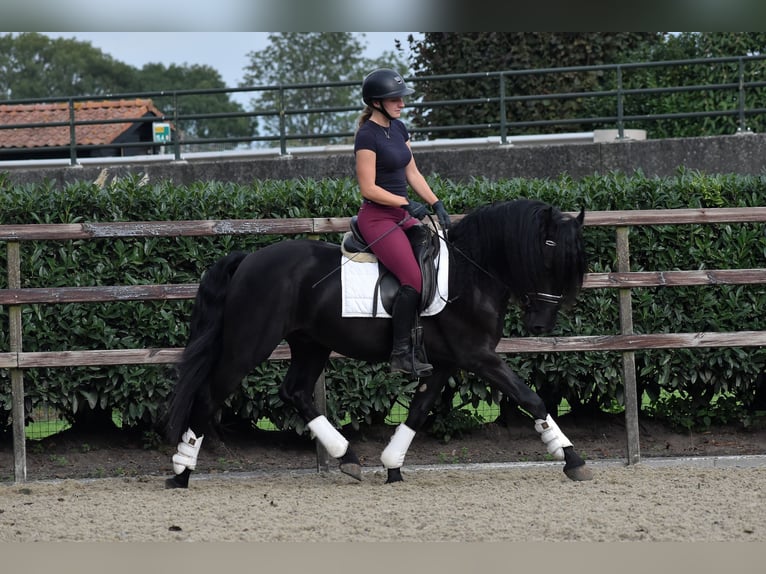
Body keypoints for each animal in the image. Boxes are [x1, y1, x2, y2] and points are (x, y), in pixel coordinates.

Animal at [164, 199, 592, 490]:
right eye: (549, 258)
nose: (541, 322)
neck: (470, 275)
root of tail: (249, 259)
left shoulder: (445, 362)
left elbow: (418, 411)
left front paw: (393, 465)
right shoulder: (478, 356)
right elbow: (531, 398)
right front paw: (571, 457)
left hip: (311, 343)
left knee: (295, 391)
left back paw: (347, 457)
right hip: (249, 345)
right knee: (210, 395)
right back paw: (182, 471)